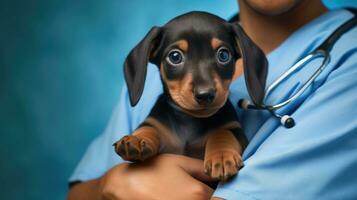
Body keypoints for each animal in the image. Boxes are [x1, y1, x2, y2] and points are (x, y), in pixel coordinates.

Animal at [112, 10, 266, 180]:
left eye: (224, 55)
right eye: (175, 57)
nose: (205, 94)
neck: (190, 120)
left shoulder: (235, 130)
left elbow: (222, 132)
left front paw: (221, 155)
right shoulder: (156, 124)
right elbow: (149, 128)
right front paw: (136, 139)